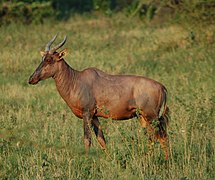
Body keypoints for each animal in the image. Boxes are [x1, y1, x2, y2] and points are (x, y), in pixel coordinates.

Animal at [29, 34, 170, 159]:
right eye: (42, 59)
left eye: (50, 59)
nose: (31, 79)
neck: (77, 80)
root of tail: (162, 87)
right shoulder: (94, 116)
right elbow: (101, 139)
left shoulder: (86, 114)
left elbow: (87, 139)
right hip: (143, 117)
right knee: (153, 137)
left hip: (151, 116)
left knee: (161, 136)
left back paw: (165, 160)